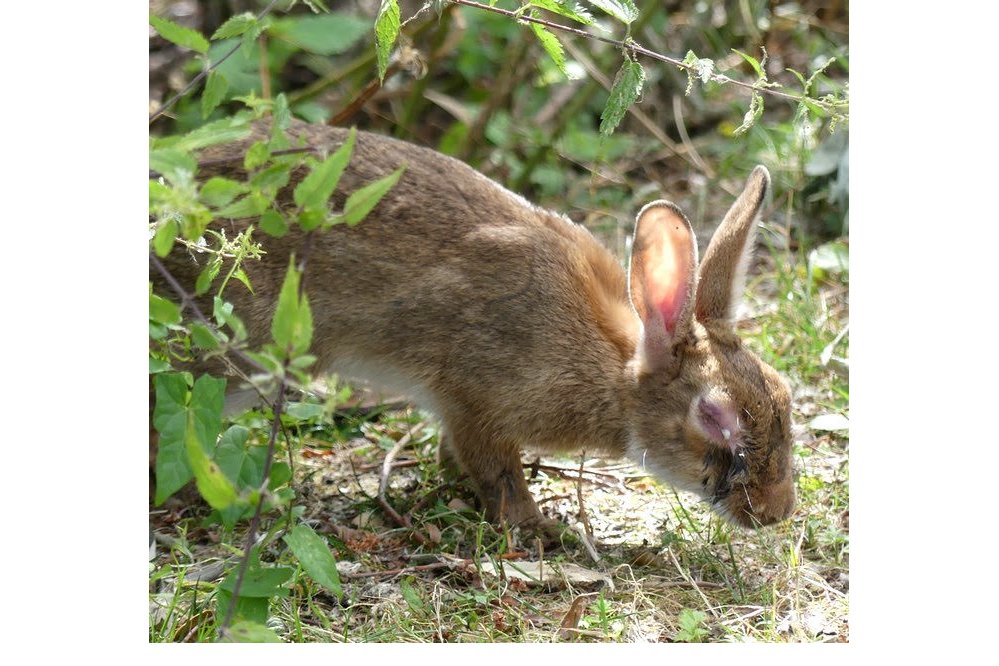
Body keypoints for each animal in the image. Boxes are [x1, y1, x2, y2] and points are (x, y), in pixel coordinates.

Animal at [156, 119, 796, 528]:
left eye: (784, 394)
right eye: (715, 418)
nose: (777, 512)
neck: (612, 367)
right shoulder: (474, 400)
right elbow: (497, 473)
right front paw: (540, 530)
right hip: (235, 355)